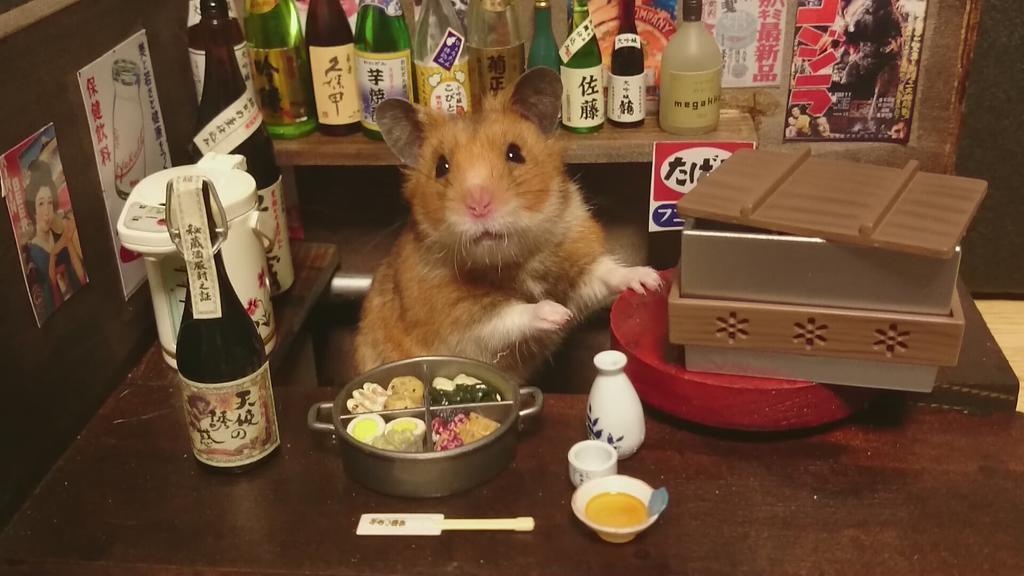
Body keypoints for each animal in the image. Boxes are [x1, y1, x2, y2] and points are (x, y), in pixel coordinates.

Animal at [354, 68, 661, 378]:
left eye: (515, 153)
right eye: (441, 167)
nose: (479, 206)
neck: (512, 259)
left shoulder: (577, 258)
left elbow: (606, 273)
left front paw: (651, 280)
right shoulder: (461, 318)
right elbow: (512, 314)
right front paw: (559, 314)